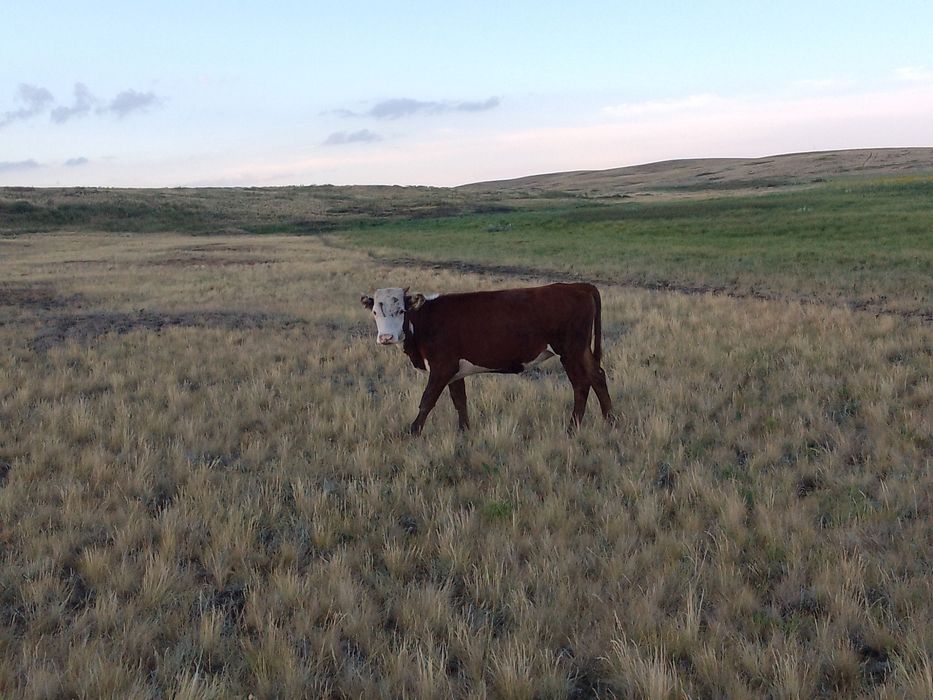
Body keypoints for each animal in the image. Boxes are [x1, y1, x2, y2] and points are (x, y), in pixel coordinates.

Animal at [360, 283, 615, 435]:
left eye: (401, 311)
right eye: (375, 312)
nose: (386, 337)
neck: (426, 319)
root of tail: (578, 286)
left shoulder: (442, 367)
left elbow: (427, 401)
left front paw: (413, 431)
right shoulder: (455, 371)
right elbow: (459, 400)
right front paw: (464, 431)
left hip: (571, 351)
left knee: (581, 384)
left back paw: (573, 427)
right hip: (581, 351)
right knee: (598, 377)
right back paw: (610, 421)